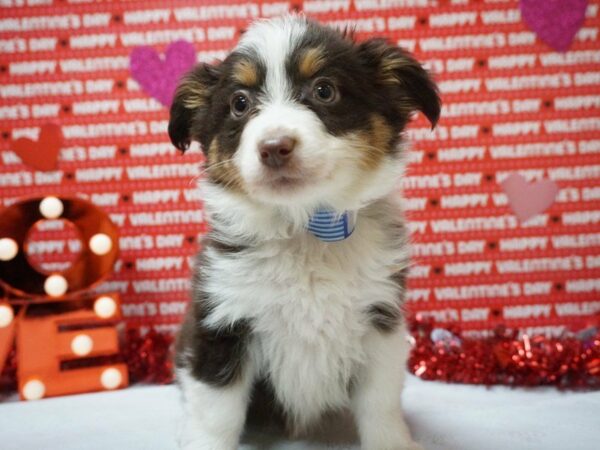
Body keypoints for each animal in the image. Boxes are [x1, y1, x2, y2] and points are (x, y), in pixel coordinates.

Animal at [169, 14, 440, 450]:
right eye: (239, 103)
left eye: (324, 90)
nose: (274, 146)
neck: (306, 230)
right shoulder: (221, 323)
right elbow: (217, 413)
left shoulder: (380, 323)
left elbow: (380, 404)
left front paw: (393, 443)